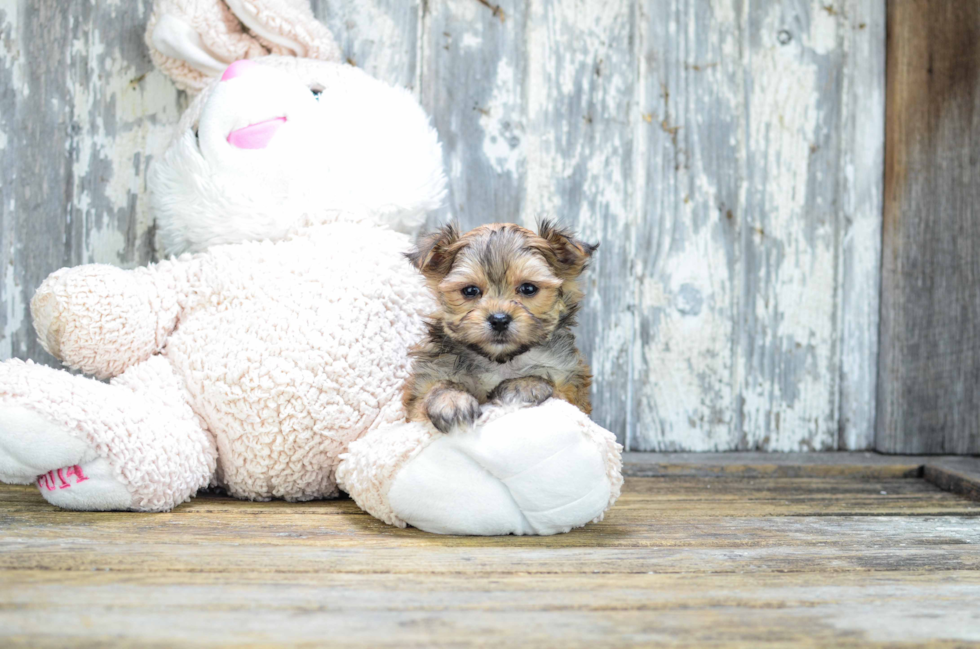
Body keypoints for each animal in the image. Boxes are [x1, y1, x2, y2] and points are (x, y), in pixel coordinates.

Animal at [400, 220, 596, 432]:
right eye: (470, 290)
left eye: (528, 288)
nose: (499, 320)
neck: (501, 361)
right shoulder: (424, 386)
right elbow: (435, 389)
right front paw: (451, 400)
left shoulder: (572, 389)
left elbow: (555, 388)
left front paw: (524, 386)